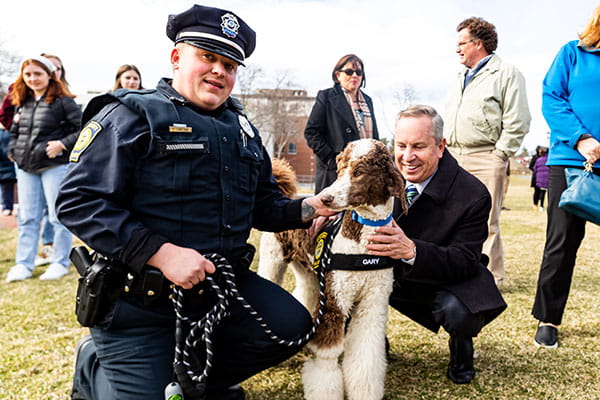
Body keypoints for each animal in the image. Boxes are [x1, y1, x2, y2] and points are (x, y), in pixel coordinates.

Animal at [258, 138, 408, 400]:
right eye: (340, 169)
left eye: (359, 172)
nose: (325, 199)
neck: (360, 243)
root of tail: (288, 194)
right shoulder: (334, 302)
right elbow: (326, 359)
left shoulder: (373, 303)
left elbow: (366, 353)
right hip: (272, 262)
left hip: (309, 274)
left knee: (304, 296)